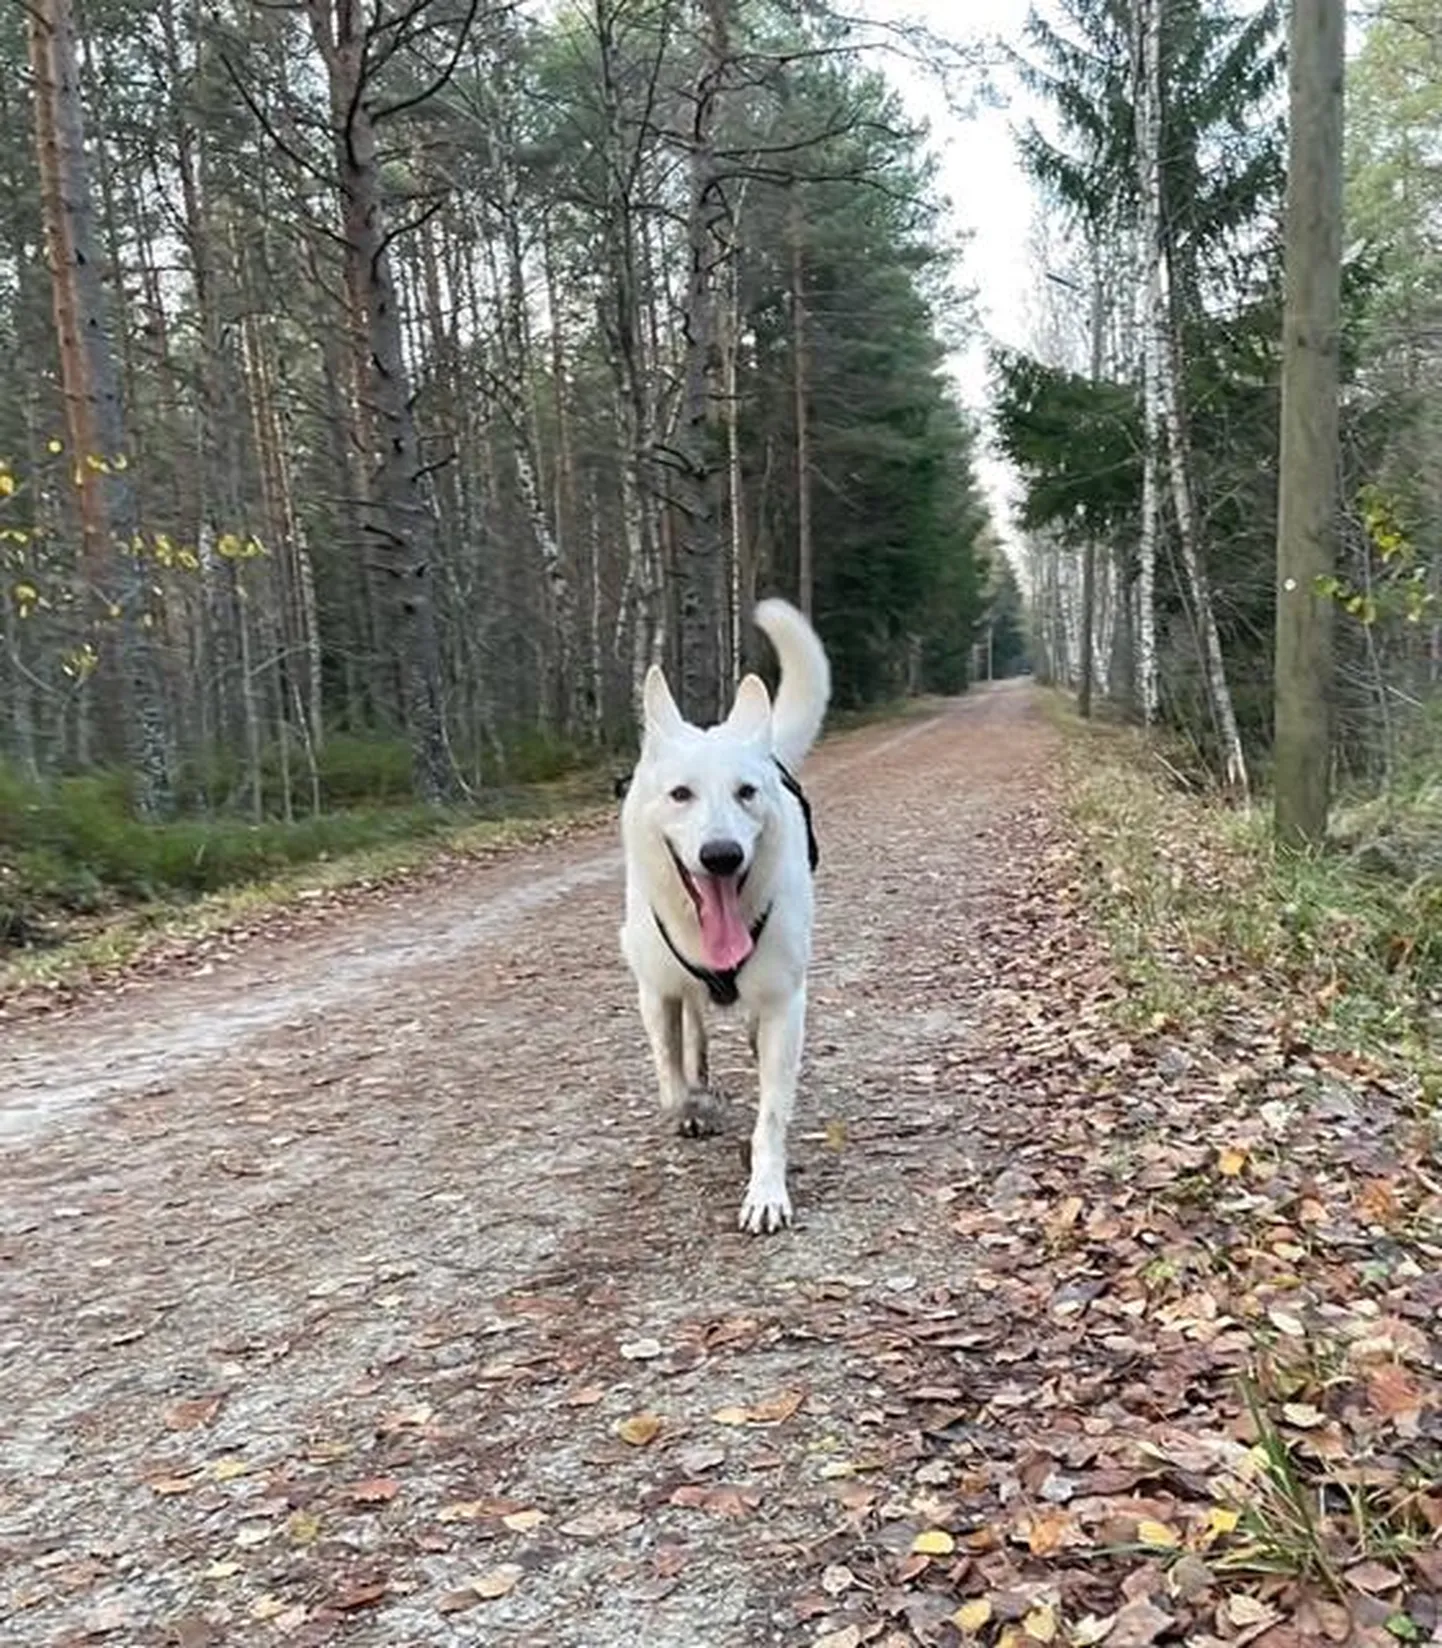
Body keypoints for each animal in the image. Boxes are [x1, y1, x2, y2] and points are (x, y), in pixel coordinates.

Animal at [613, 599, 830, 1232]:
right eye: (680, 794)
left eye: (747, 792)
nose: (721, 855)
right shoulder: (655, 992)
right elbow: (671, 1082)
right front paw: (696, 1106)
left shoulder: (785, 1003)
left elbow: (772, 1116)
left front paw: (766, 1189)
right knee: (694, 1030)